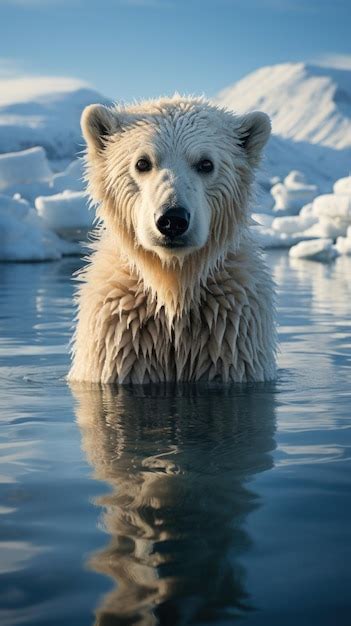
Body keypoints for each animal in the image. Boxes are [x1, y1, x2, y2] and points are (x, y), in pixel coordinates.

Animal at [68, 95, 278, 382]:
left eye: (206, 163)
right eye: (142, 162)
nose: (172, 219)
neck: (173, 285)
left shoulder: (231, 335)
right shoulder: (120, 336)